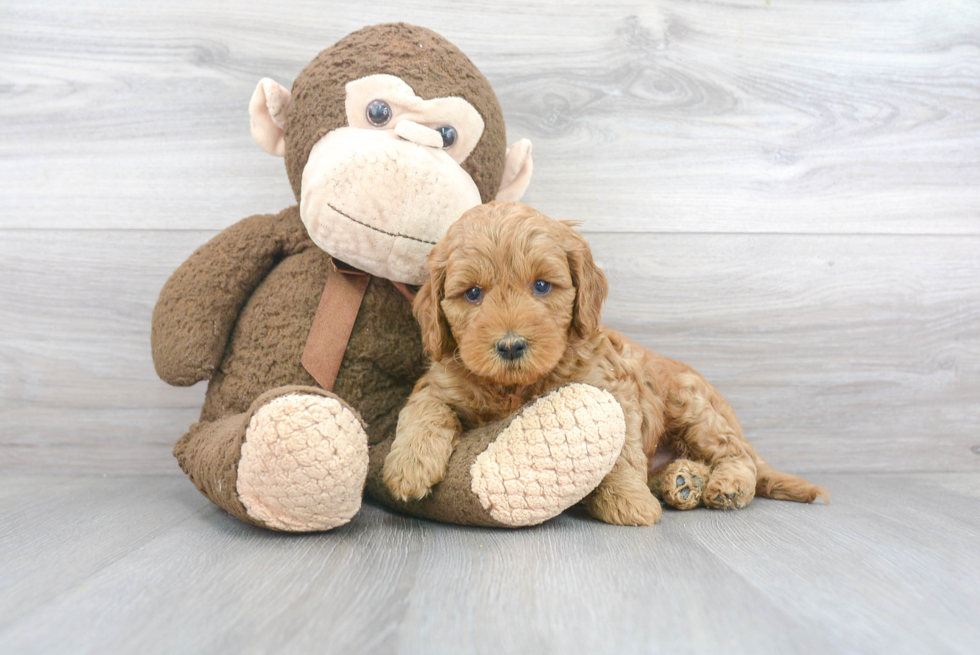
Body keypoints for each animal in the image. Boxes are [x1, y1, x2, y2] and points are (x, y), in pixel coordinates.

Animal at [382, 202, 828, 524]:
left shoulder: (612, 391)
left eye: (541, 286)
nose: (510, 346)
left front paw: (629, 501)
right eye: (473, 294)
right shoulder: (441, 379)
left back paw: (725, 484)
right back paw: (683, 482)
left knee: (736, 455)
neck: (517, 387)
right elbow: (423, 410)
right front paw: (409, 466)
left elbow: (620, 453)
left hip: (693, 405)